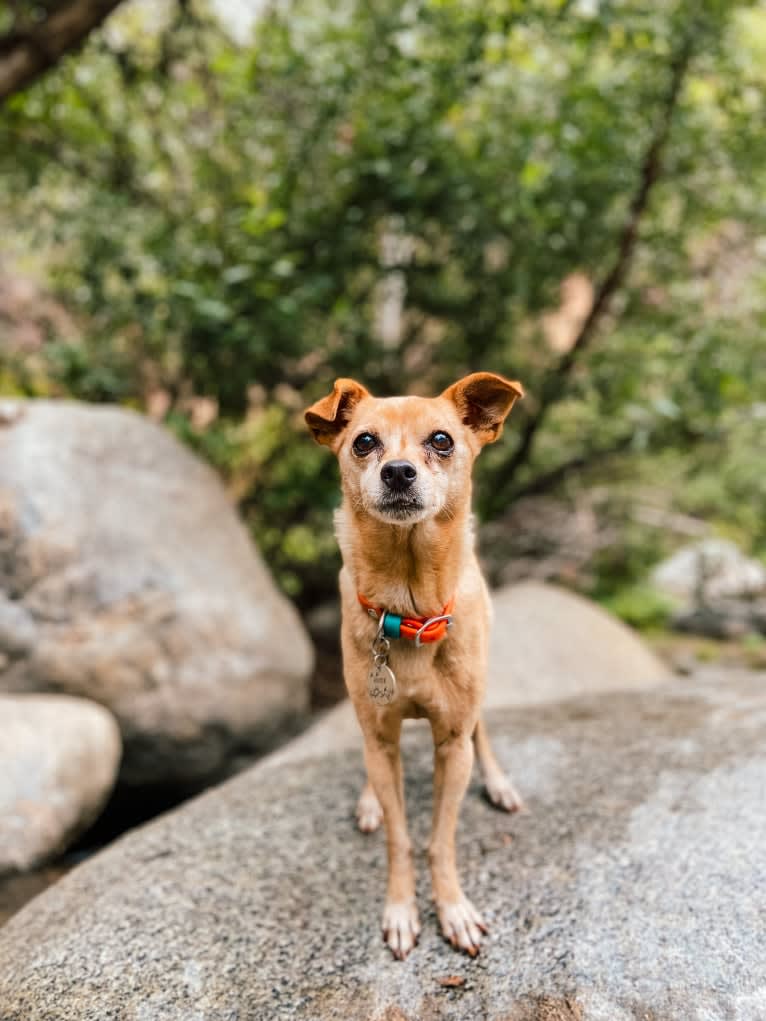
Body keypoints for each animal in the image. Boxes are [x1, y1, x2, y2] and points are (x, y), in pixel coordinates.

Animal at [306, 373, 527, 955]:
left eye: (442, 440)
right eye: (364, 442)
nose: (398, 472)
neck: (408, 615)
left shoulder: (452, 741)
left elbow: (439, 841)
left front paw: (452, 909)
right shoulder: (381, 739)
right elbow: (401, 838)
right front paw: (402, 910)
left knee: (483, 733)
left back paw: (499, 783)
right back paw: (368, 802)